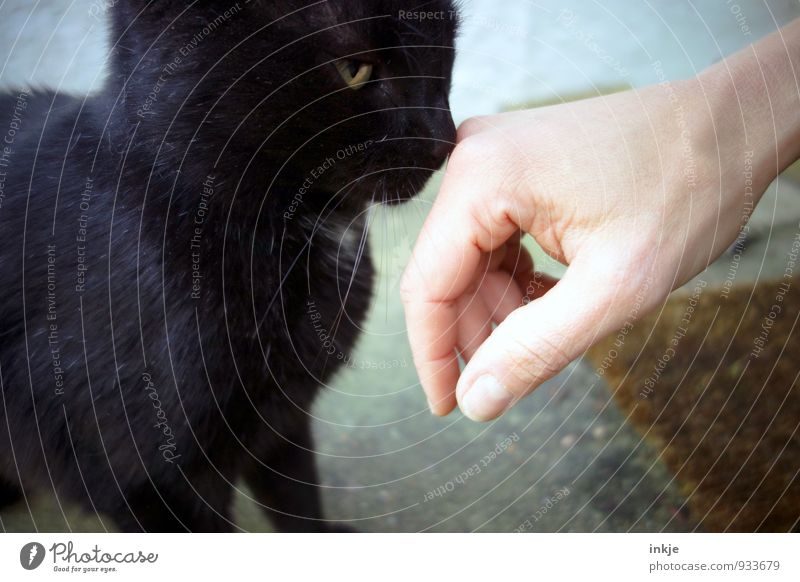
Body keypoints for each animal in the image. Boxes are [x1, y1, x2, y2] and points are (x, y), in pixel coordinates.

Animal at [0, 0, 456, 532]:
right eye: (354, 69)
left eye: (444, 41)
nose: (443, 139)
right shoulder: (138, 478)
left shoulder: (282, 414)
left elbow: (294, 493)